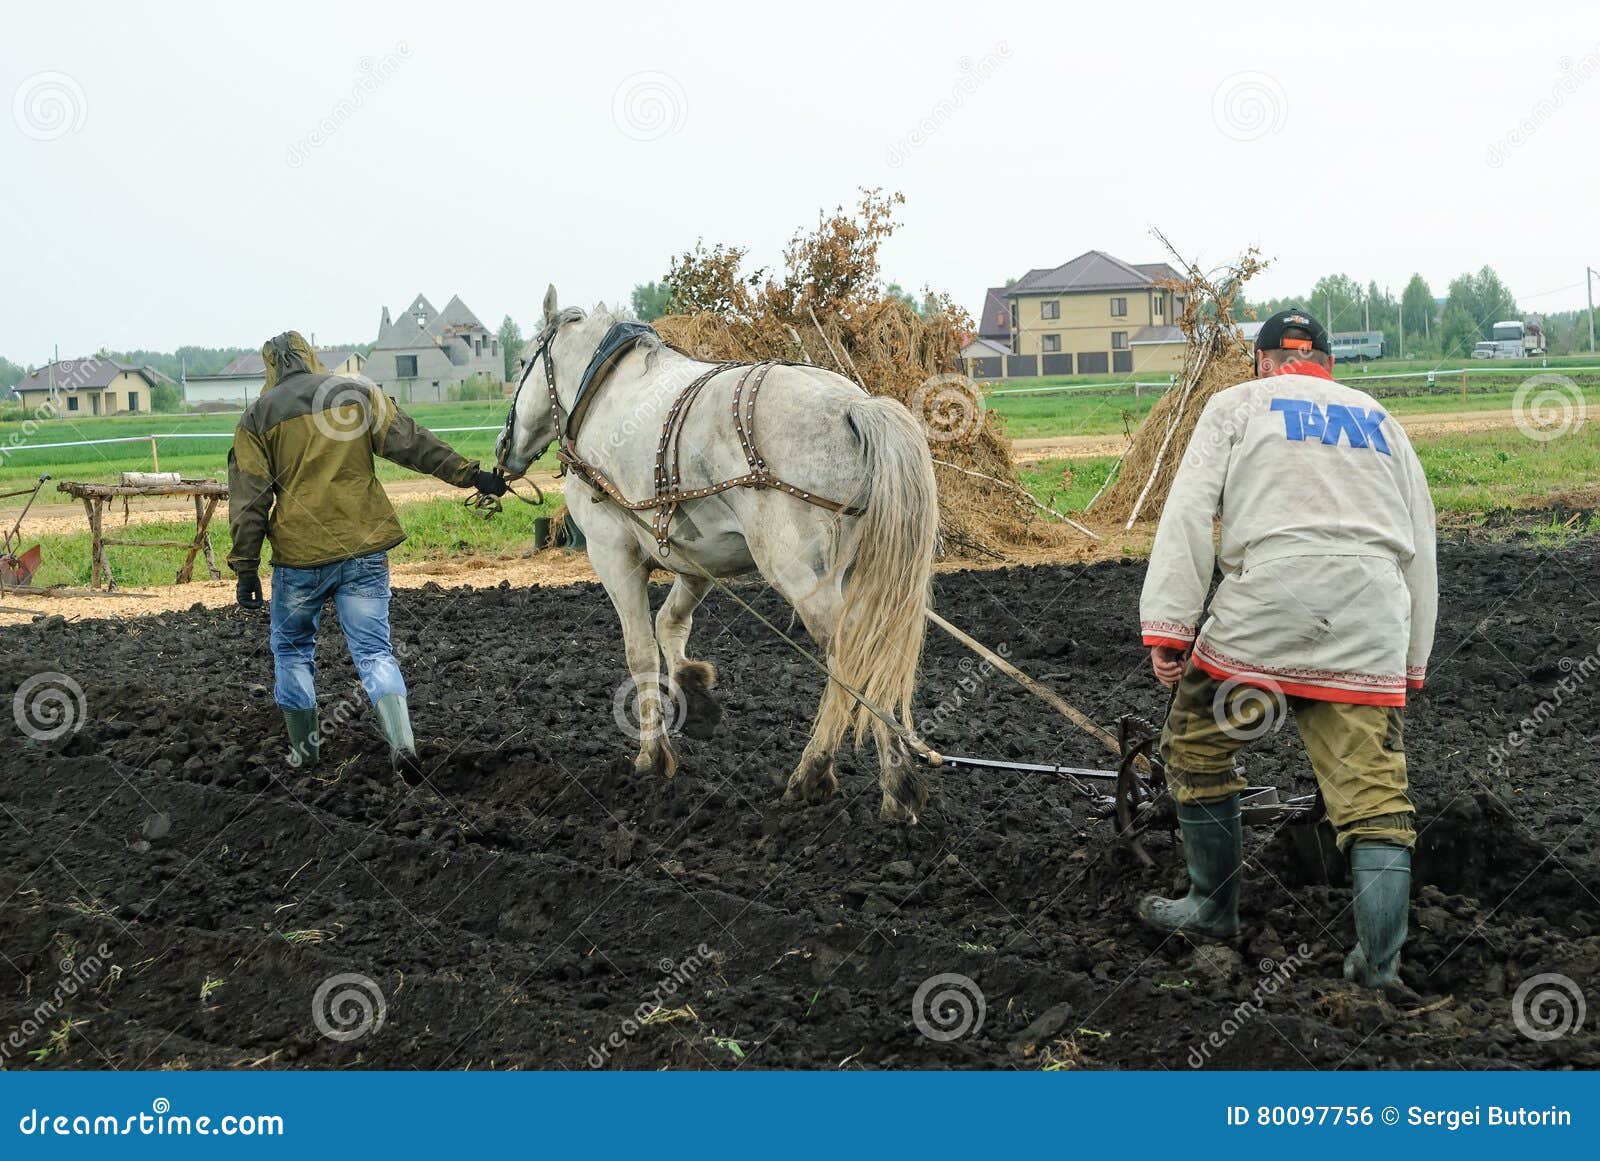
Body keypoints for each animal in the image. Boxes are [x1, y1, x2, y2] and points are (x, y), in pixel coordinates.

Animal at [502, 286, 934, 825]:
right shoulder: (698, 558)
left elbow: (640, 650)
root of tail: (854, 404)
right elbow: (671, 624)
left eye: (522, 361)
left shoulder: (613, 552)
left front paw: (651, 755)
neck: (603, 394)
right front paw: (695, 688)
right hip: (853, 575)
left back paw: (852, 778)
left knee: (853, 657)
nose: (503, 449)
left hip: (803, 577)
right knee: (869, 651)